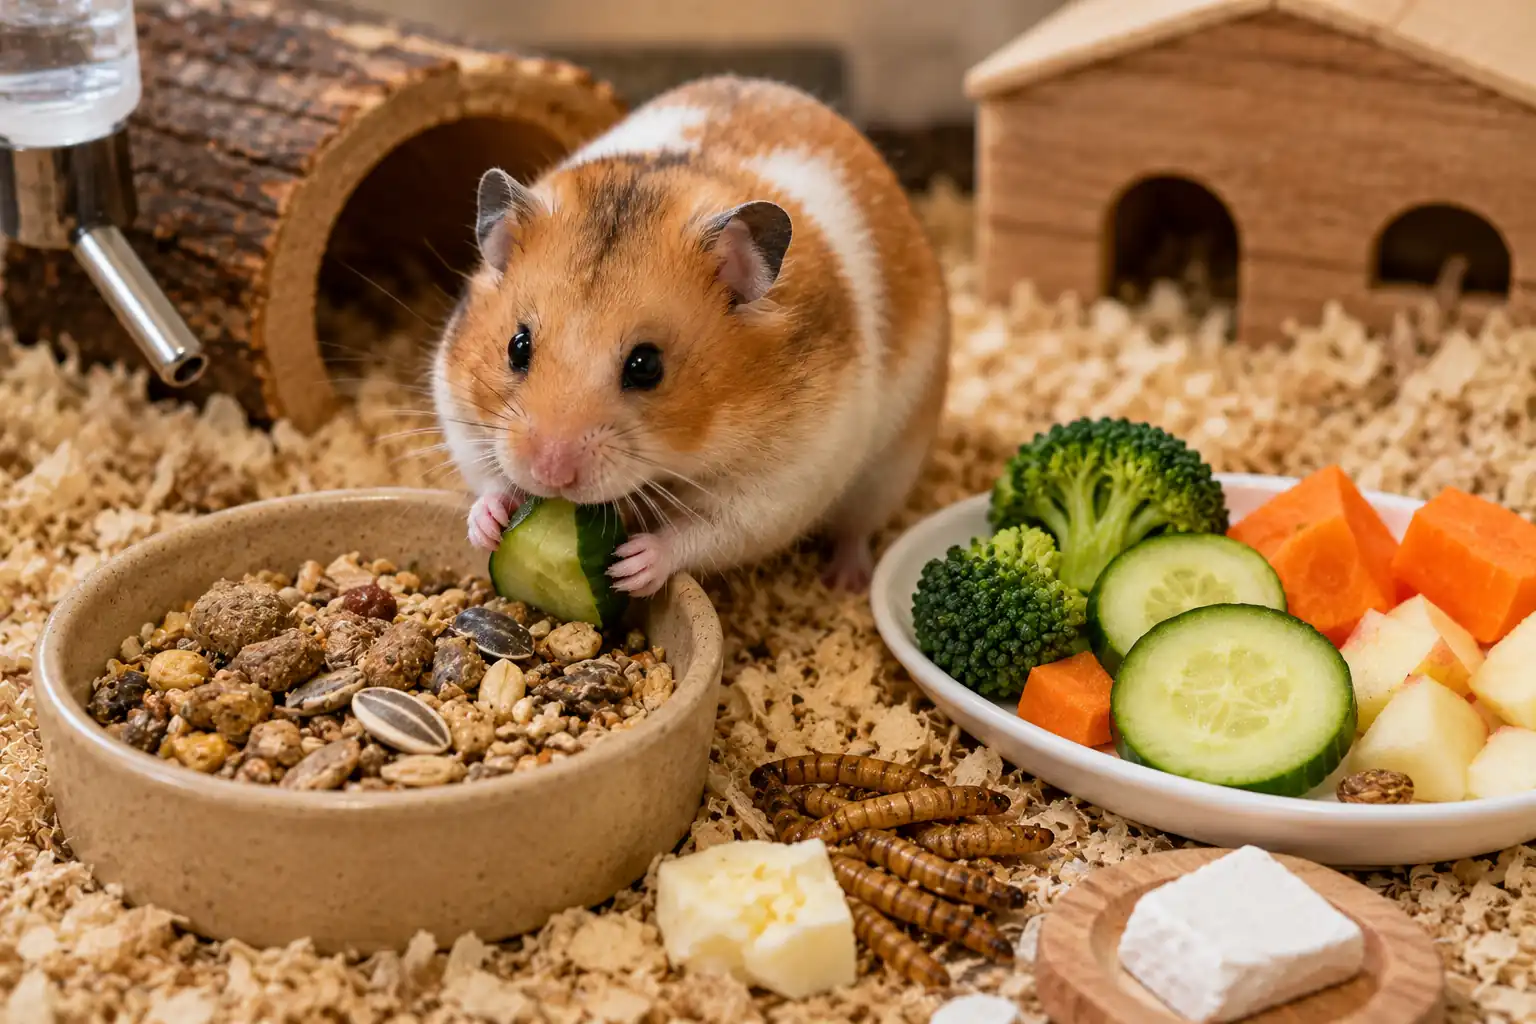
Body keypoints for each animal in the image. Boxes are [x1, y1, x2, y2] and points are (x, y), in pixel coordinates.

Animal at [431, 75, 949, 596]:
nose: (549, 473)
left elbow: (707, 532)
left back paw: (846, 582)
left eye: (646, 366)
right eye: (517, 347)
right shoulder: (459, 408)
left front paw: (632, 566)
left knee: (856, 530)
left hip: (888, 473)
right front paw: (488, 524)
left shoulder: (785, 480)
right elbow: (486, 477)